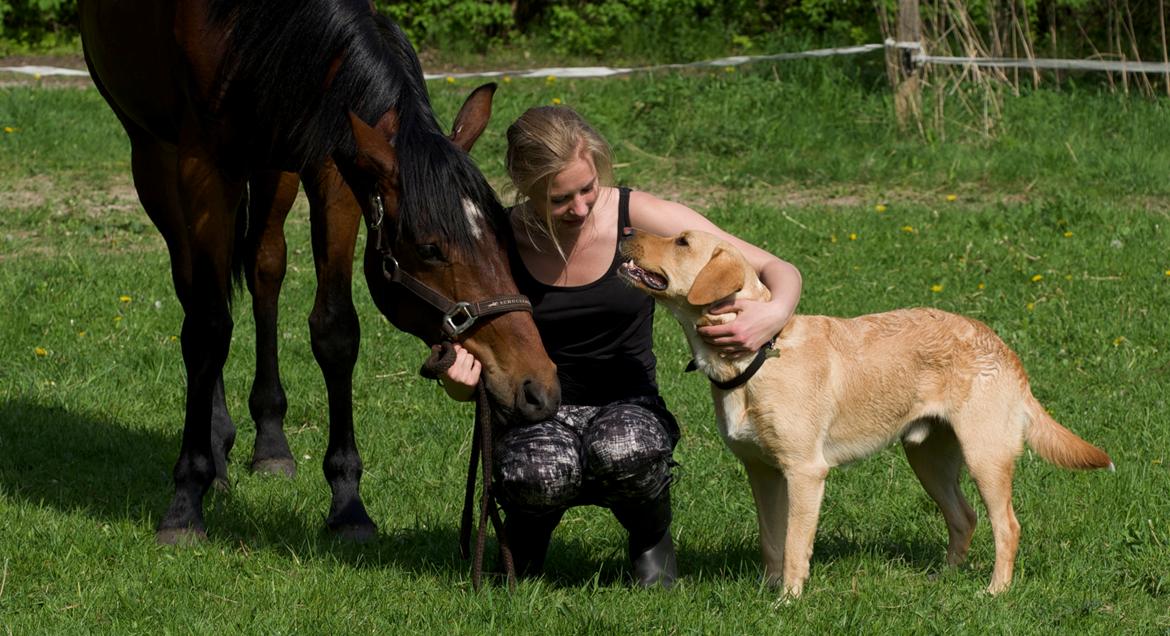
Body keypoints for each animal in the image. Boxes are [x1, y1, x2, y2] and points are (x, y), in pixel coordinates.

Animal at [78, 1, 561, 547]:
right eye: (429, 248)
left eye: (502, 232)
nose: (537, 386)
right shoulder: (202, 167)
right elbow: (207, 329)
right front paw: (185, 503)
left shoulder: (334, 166)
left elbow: (335, 330)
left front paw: (348, 503)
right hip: (153, 157)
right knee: (196, 293)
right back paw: (216, 448)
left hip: (275, 164)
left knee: (265, 269)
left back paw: (270, 443)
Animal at [617, 226, 1109, 596]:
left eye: (682, 241)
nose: (625, 231)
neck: (758, 353)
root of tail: (1004, 348)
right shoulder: (762, 472)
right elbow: (771, 540)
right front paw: (766, 591)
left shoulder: (805, 473)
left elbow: (794, 545)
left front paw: (787, 600)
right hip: (929, 460)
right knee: (964, 518)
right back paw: (945, 578)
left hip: (985, 456)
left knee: (1007, 526)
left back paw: (995, 591)